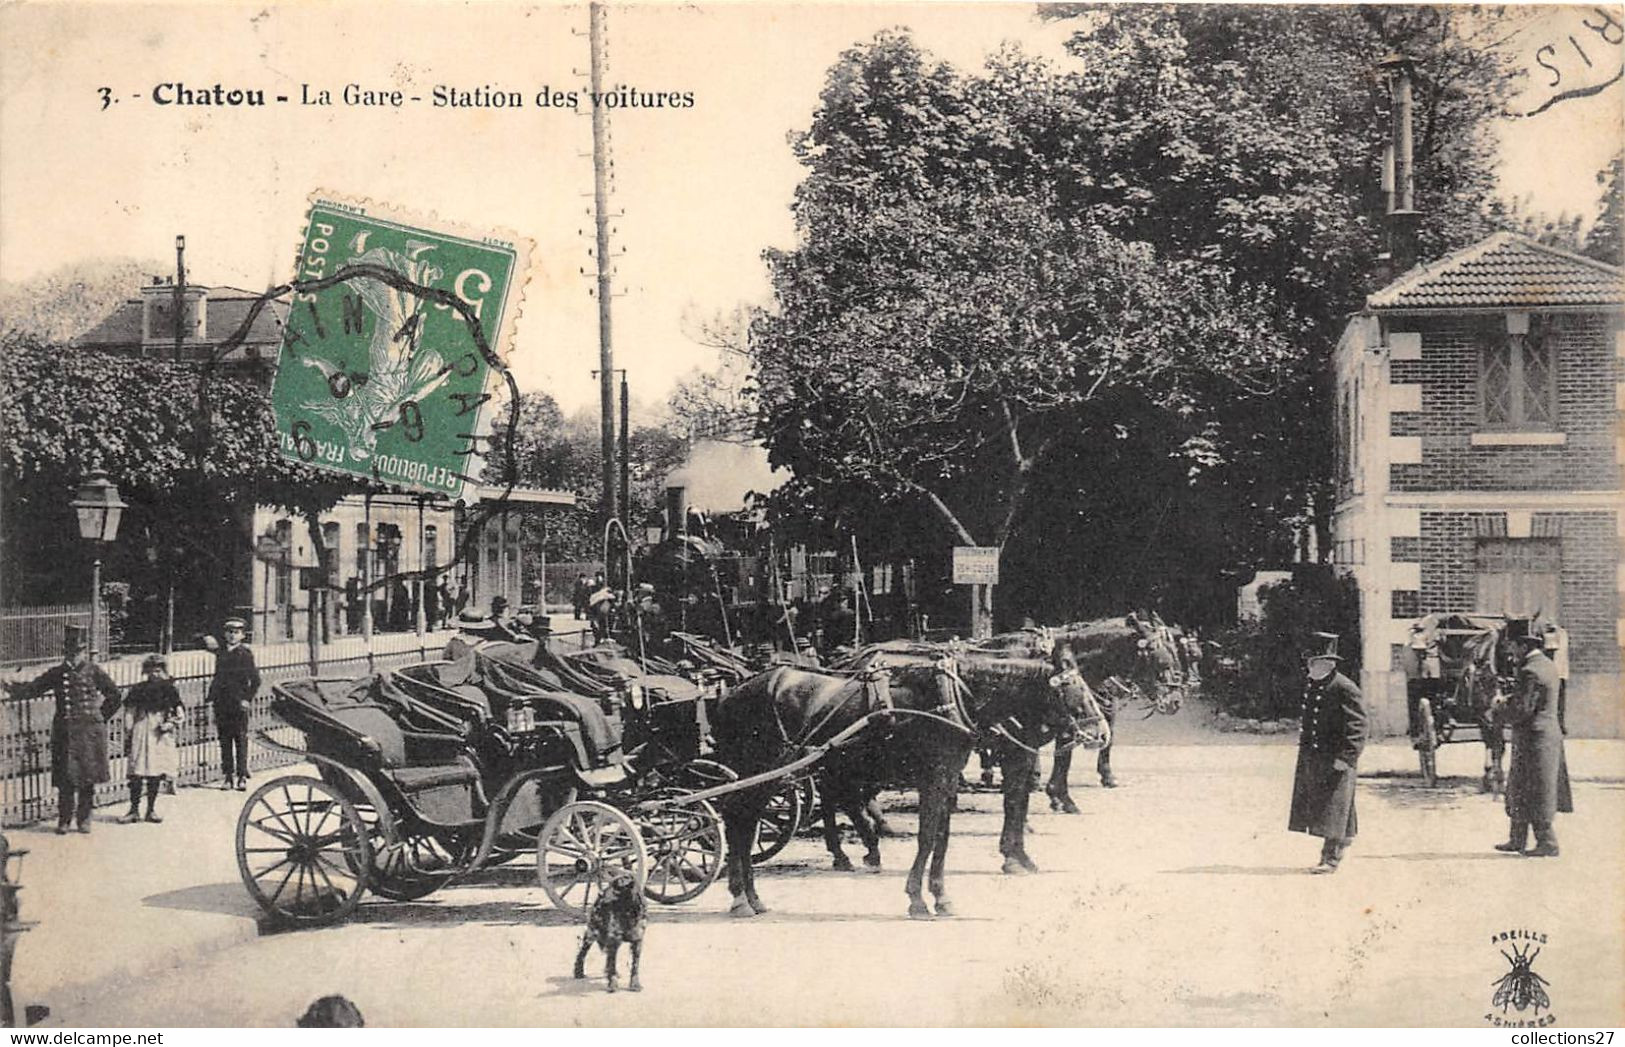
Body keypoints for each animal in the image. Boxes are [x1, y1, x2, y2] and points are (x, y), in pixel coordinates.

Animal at [708, 660, 1098, 923]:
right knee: (738, 820)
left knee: (744, 823)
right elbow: (927, 838)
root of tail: (729, 694)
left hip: (767, 778)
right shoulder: (933, 780)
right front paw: (918, 900)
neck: (953, 700)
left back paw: (751, 897)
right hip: (761, 773)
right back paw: (741, 897)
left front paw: (940, 897)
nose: (1099, 732)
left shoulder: (946, 780)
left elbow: (941, 837)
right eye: (1073, 691)